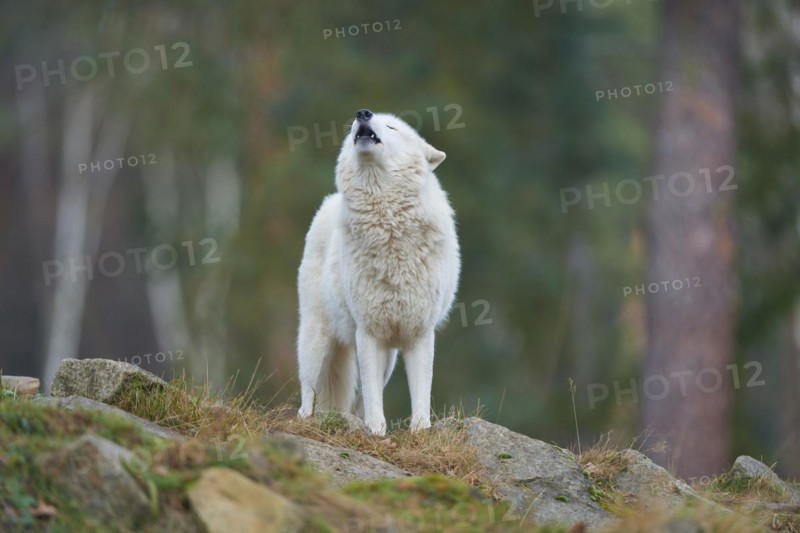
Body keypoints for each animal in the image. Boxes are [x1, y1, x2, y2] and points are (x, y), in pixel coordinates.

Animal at [296, 108, 460, 435]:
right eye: (352, 128)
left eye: (392, 127)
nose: (363, 113)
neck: (389, 227)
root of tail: (328, 202)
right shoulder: (368, 333)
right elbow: (373, 397)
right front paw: (375, 431)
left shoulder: (419, 333)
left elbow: (421, 392)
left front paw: (420, 431)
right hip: (316, 335)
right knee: (308, 390)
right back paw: (307, 419)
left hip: (388, 359)